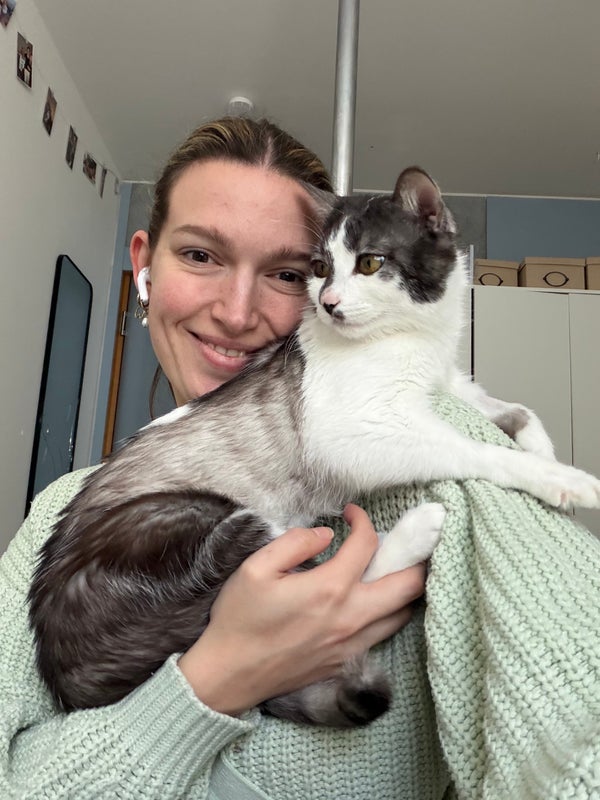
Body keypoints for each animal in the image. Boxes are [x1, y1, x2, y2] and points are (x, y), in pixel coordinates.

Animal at [29, 166, 600, 729]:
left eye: (370, 263)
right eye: (321, 268)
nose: (327, 304)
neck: (412, 337)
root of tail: (66, 670)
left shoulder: (448, 385)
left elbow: (517, 411)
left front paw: (544, 451)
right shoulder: (351, 431)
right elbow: (473, 448)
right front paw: (565, 481)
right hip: (191, 521)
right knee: (321, 576)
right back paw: (412, 532)